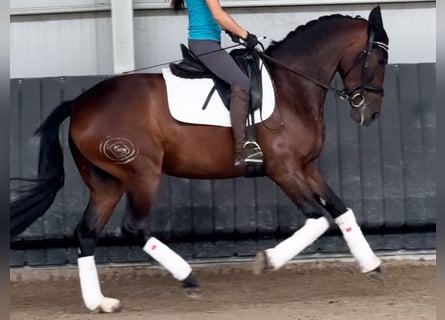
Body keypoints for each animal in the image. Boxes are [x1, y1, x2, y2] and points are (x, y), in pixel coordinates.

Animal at [11, 6, 388, 314]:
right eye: (380, 61)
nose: (370, 114)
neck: (290, 86)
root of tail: (77, 104)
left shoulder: (306, 167)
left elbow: (341, 210)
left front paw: (372, 265)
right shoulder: (283, 169)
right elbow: (318, 219)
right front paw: (267, 260)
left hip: (108, 182)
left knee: (87, 232)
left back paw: (99, 302)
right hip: (142, 172)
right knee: (134, 226)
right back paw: (188, 277)